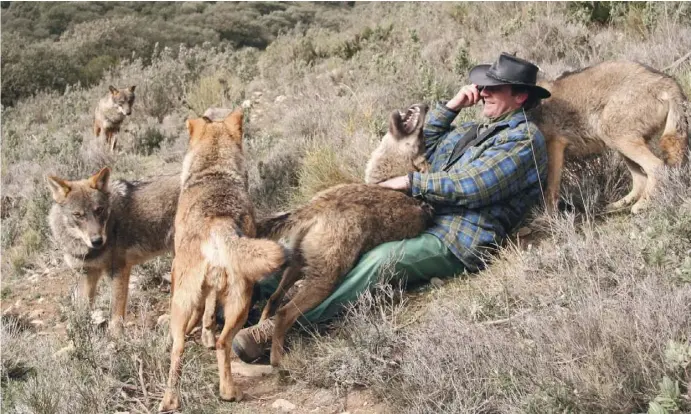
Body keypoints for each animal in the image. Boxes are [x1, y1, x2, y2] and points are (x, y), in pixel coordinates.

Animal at [46, 167, 180, 336]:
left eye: (99, 210)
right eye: (78, 215)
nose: (97, 241)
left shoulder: (118, 269)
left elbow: (116, 310)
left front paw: (116, 337)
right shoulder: (88, 273)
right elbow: (83, 309)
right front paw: (79, 330)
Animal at [159, 109, 290, 410]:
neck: (214, 170)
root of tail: (219, 224)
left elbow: (202, 314)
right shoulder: (211, 289)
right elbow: (209, 314)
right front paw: (206, 332)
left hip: (189, 301)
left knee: (181, 347)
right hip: (239, 302)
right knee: (219, 344)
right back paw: (216, 393)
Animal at [532, 60, 688, 215]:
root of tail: (667, 80)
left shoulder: (554, 144)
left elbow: (550, 188)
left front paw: (549, 217)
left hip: (614, 136)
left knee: (657, 166)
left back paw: (642, 204)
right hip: (618, 144)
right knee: (641, 179)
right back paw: (619, 204)